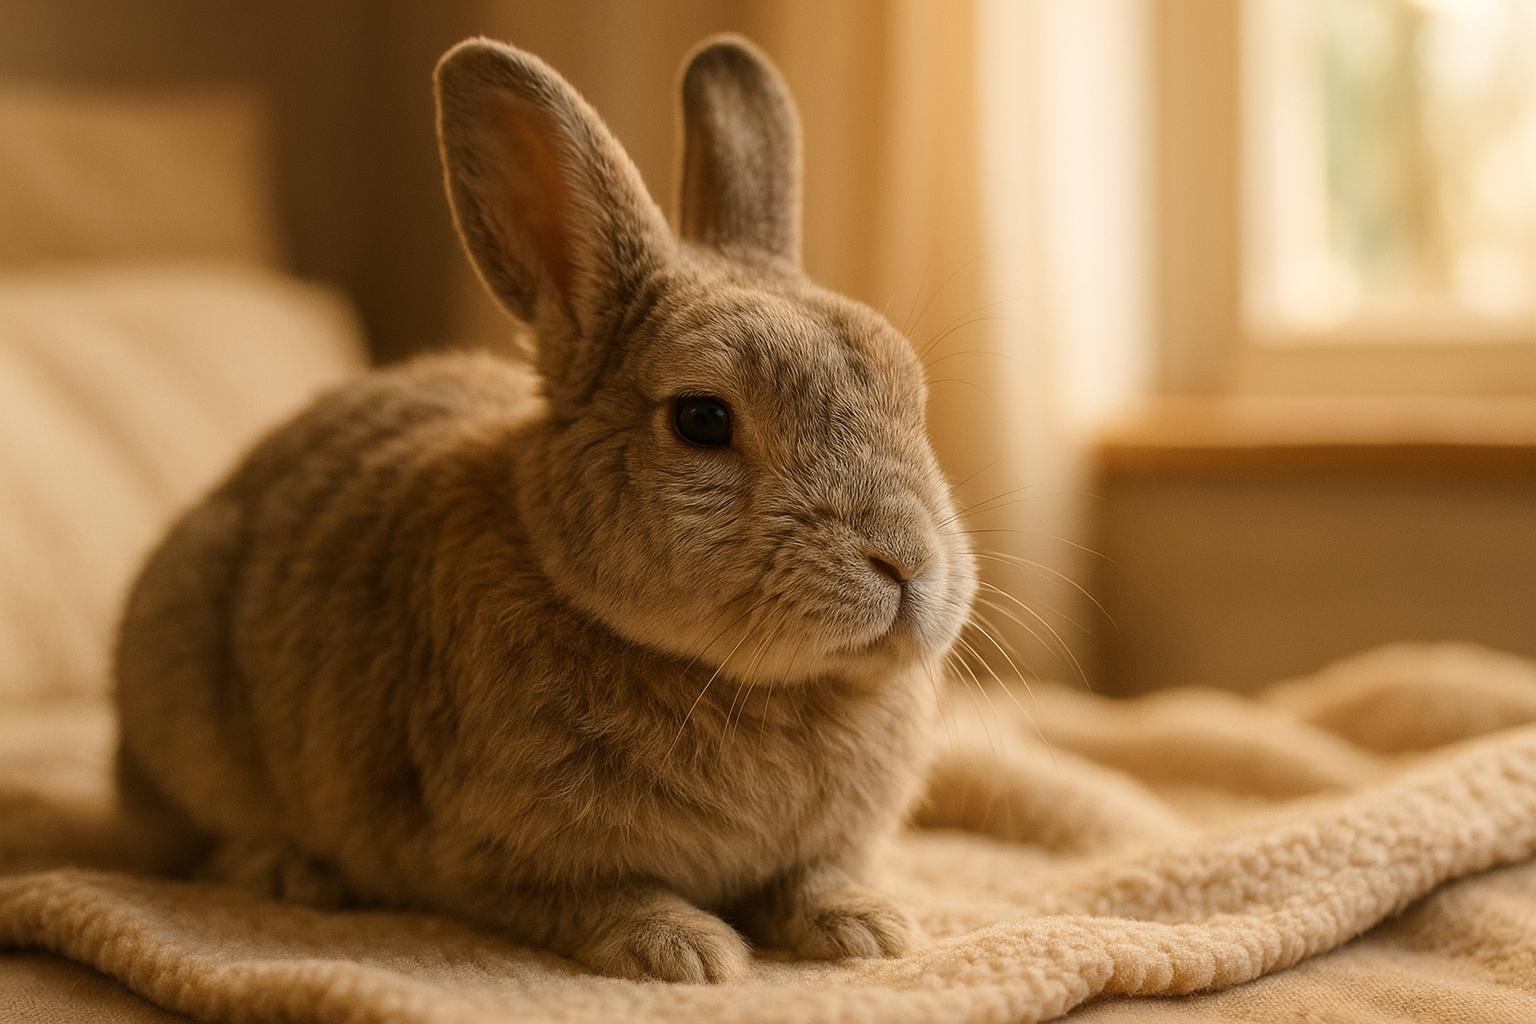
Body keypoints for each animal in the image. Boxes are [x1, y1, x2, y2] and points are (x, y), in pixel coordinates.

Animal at [113, 34, 977, 983]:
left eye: (912, 396)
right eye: (702, 420)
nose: (905, 561)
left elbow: (811, 877)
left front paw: (868, 930)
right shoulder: (497, 857)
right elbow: (593, 897)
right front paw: (687, 953)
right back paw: (289, 873)